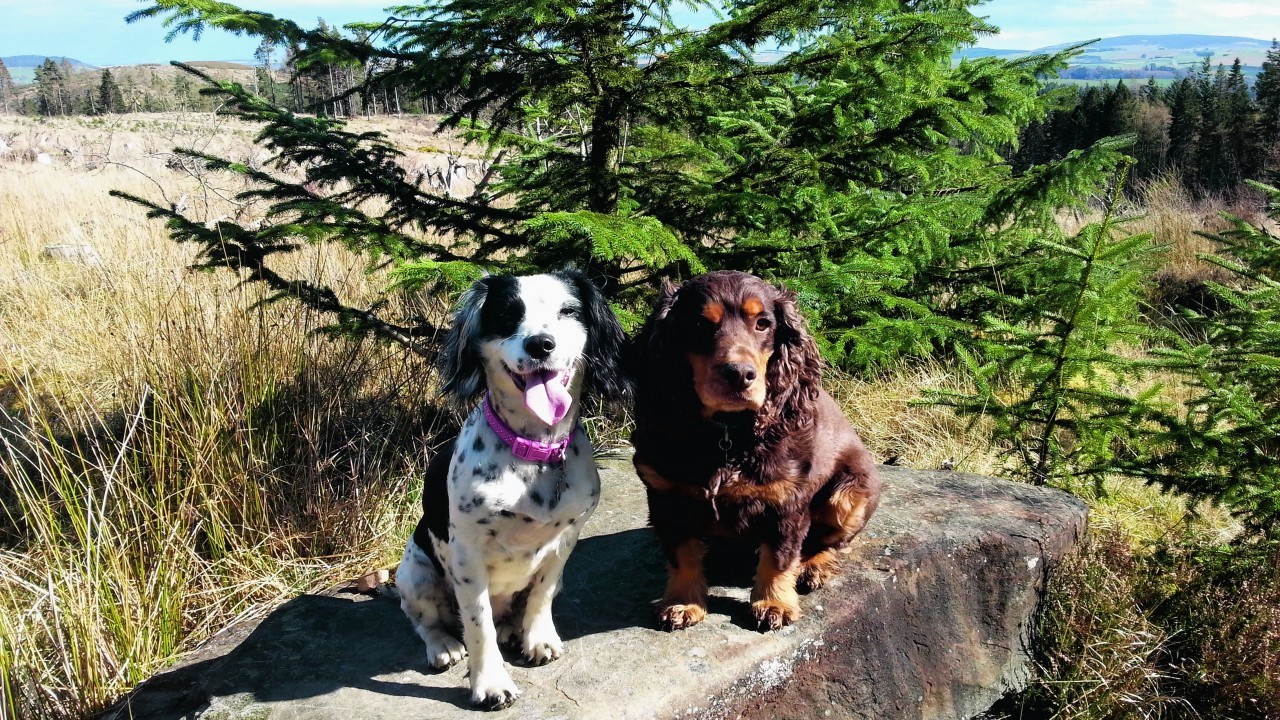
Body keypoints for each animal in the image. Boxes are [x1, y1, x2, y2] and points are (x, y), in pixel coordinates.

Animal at [394, 267, 624, 707]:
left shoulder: (566, 539)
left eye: (569, 311)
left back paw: (514, 629)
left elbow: (541, 592)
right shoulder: (467, 555)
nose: (541, 344)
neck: (534, 454)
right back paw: (443, 645)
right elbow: (478, 625)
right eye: (506, 314)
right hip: (414, 574)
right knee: (422, 620)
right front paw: (490, 683)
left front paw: (537, 637)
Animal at [629, 269, 880, 627]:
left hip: (849, 495)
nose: (740, 374)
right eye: (699, 324)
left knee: (830, 541)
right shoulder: (666, 497)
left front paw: (774, 604)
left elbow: (779, 556)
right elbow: (681, 556)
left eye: (763, 323)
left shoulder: (787, 501)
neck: (726, 435)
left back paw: (814, 567)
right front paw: (682, 603)